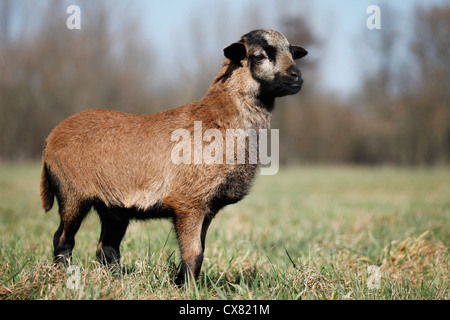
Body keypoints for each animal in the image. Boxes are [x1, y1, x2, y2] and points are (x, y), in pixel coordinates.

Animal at [40, 29, 308, 284]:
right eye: (259, 56)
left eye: (292, 53)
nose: (298, 77)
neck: (220, 116)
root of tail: (50, 139)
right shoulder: (189, 202)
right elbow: (194, 253)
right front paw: (188, 289)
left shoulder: (207, 207)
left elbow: (198, 251)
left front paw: (181, 284)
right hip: (73, 192)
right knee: (62, 239)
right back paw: (62, 276)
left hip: (113, 206)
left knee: (106, 249)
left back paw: (120, 282)